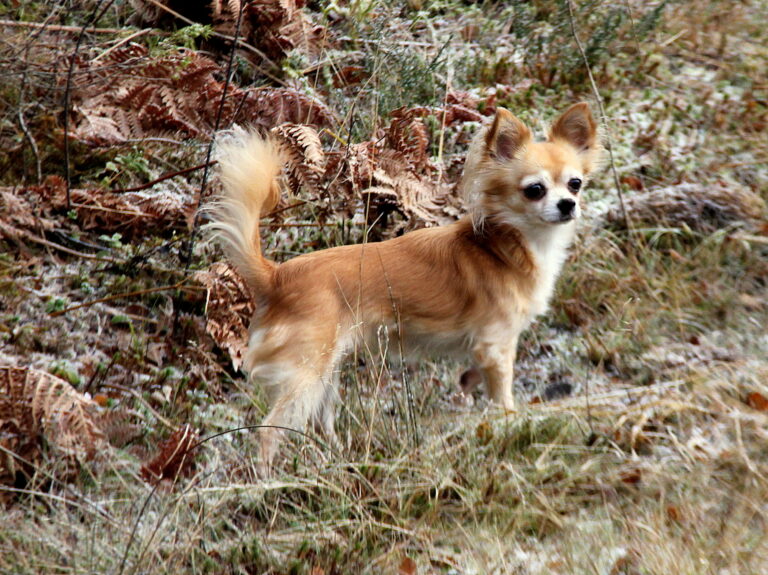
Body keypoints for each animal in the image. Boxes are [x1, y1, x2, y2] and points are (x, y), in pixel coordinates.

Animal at [207, 103, 604, 472]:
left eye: (575, 183)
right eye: (534, 190)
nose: (568, 204)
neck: (507, 245)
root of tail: (275, 276)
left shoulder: (486, 350)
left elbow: (474, 376)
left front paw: (468, 388)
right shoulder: (496, 346)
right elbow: (502, 398)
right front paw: (511, 427)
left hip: (326, 373)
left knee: (321, 424)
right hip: (305, 375)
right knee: (269, 432)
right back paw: (267, 481)